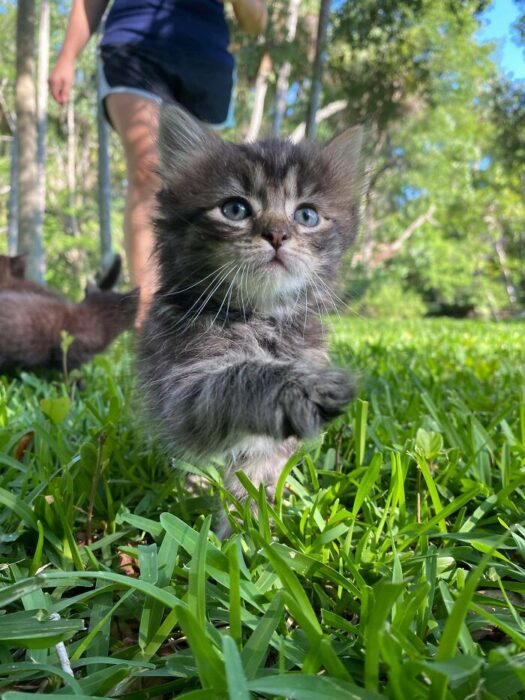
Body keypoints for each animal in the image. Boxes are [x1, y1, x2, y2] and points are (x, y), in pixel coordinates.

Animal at [137, 102, 362, 532]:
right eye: (235, 209)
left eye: (306, 216)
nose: (276, 234)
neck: (261, 318)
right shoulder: (183, 391)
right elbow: (238, 379)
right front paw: (299, 387)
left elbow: (256, 475)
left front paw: (255, 529)